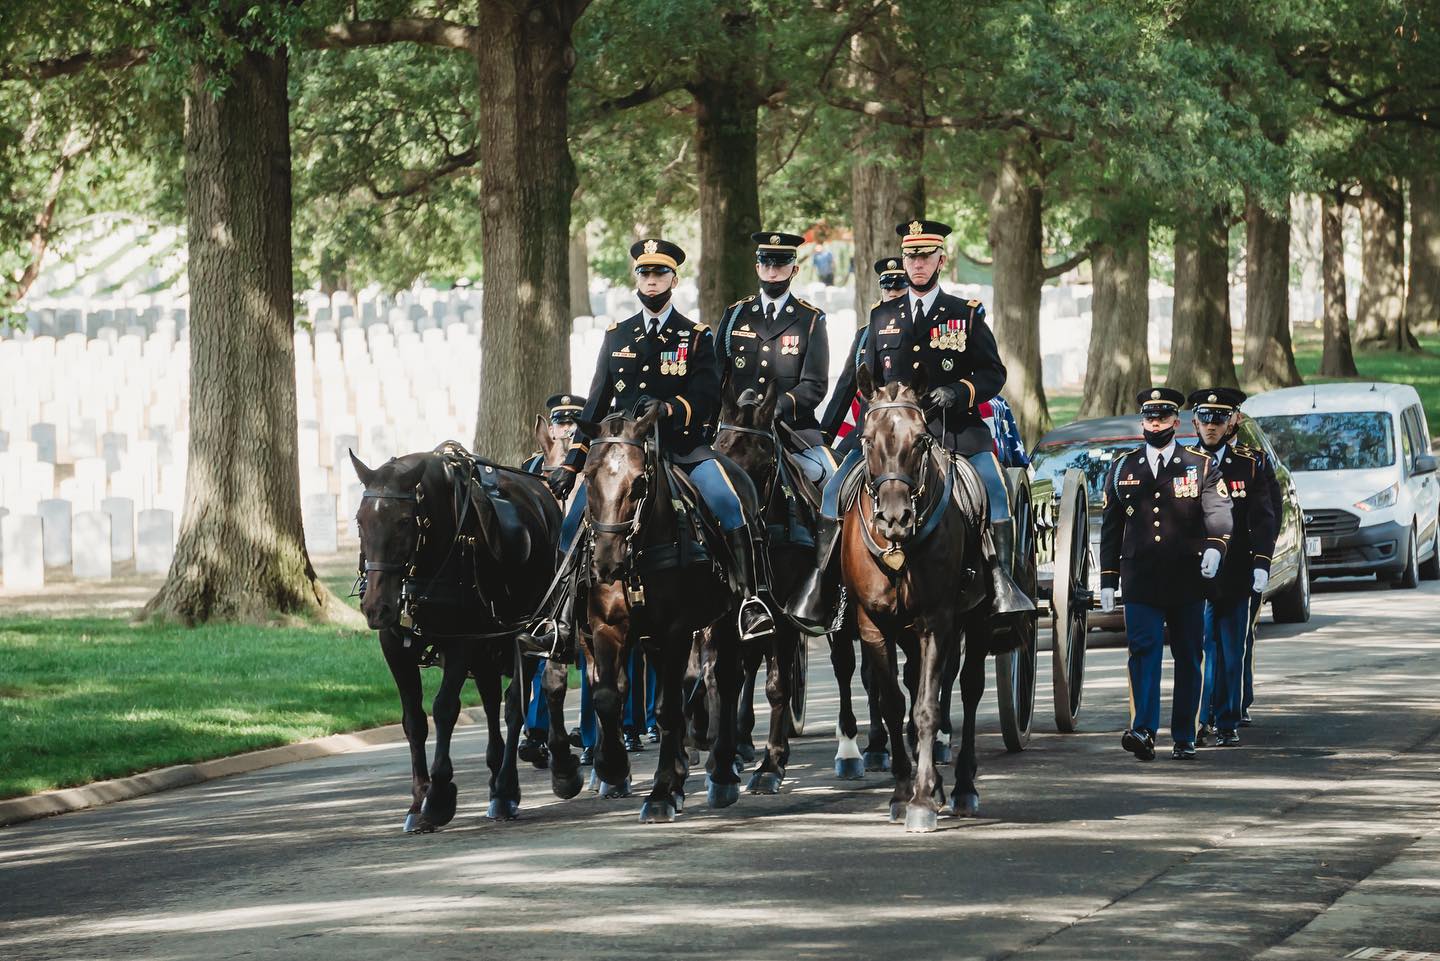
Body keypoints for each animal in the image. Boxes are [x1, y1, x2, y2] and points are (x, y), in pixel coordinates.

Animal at [348, 446, 573, 829]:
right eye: (361, 521)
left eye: (404, 522)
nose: (376, 607)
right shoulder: (395, 646)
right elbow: (414, 720)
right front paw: (418, 800)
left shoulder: (461, 641)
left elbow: (444, 709)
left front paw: (438, 795)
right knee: (492, 698)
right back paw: (498, 774)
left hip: (525, 632)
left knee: (516, 704)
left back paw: (508, 786)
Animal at [840, 364, 996, 829]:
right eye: (866, 440)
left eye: (921, 440)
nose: (896, 517)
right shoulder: (873, 625)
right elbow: (894, 703)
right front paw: (901, 791)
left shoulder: (936, 622)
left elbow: (927, 707)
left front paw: (924, 798)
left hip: (977, 619)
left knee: (969, 688)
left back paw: (962, 787)